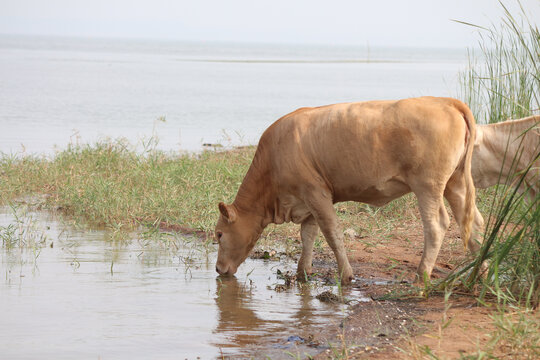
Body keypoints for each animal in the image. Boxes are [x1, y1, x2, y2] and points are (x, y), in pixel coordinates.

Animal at [213, 96, 478, 284]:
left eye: (219, 234)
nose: (217, 269)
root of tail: (444, 101)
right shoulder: (307, 201)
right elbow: (308, 235)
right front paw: (302, 273)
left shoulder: (315, 192)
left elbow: (332, 234)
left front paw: (345, 275)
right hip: (456, 182)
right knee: (473, 221)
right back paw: (481, 273)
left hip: (428, 185)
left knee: (436, 225)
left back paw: (421, 274)